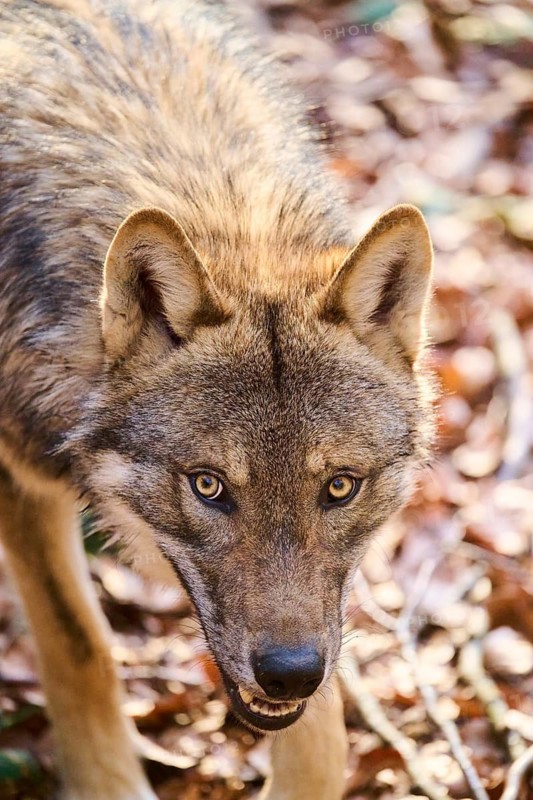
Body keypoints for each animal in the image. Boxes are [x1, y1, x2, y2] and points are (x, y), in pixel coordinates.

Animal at [0, 0, 434, 798]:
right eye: (207, 486)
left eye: (339, 487)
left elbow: (323, 734)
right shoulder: (20, 477)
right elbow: (80, 648)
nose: (288, 674)